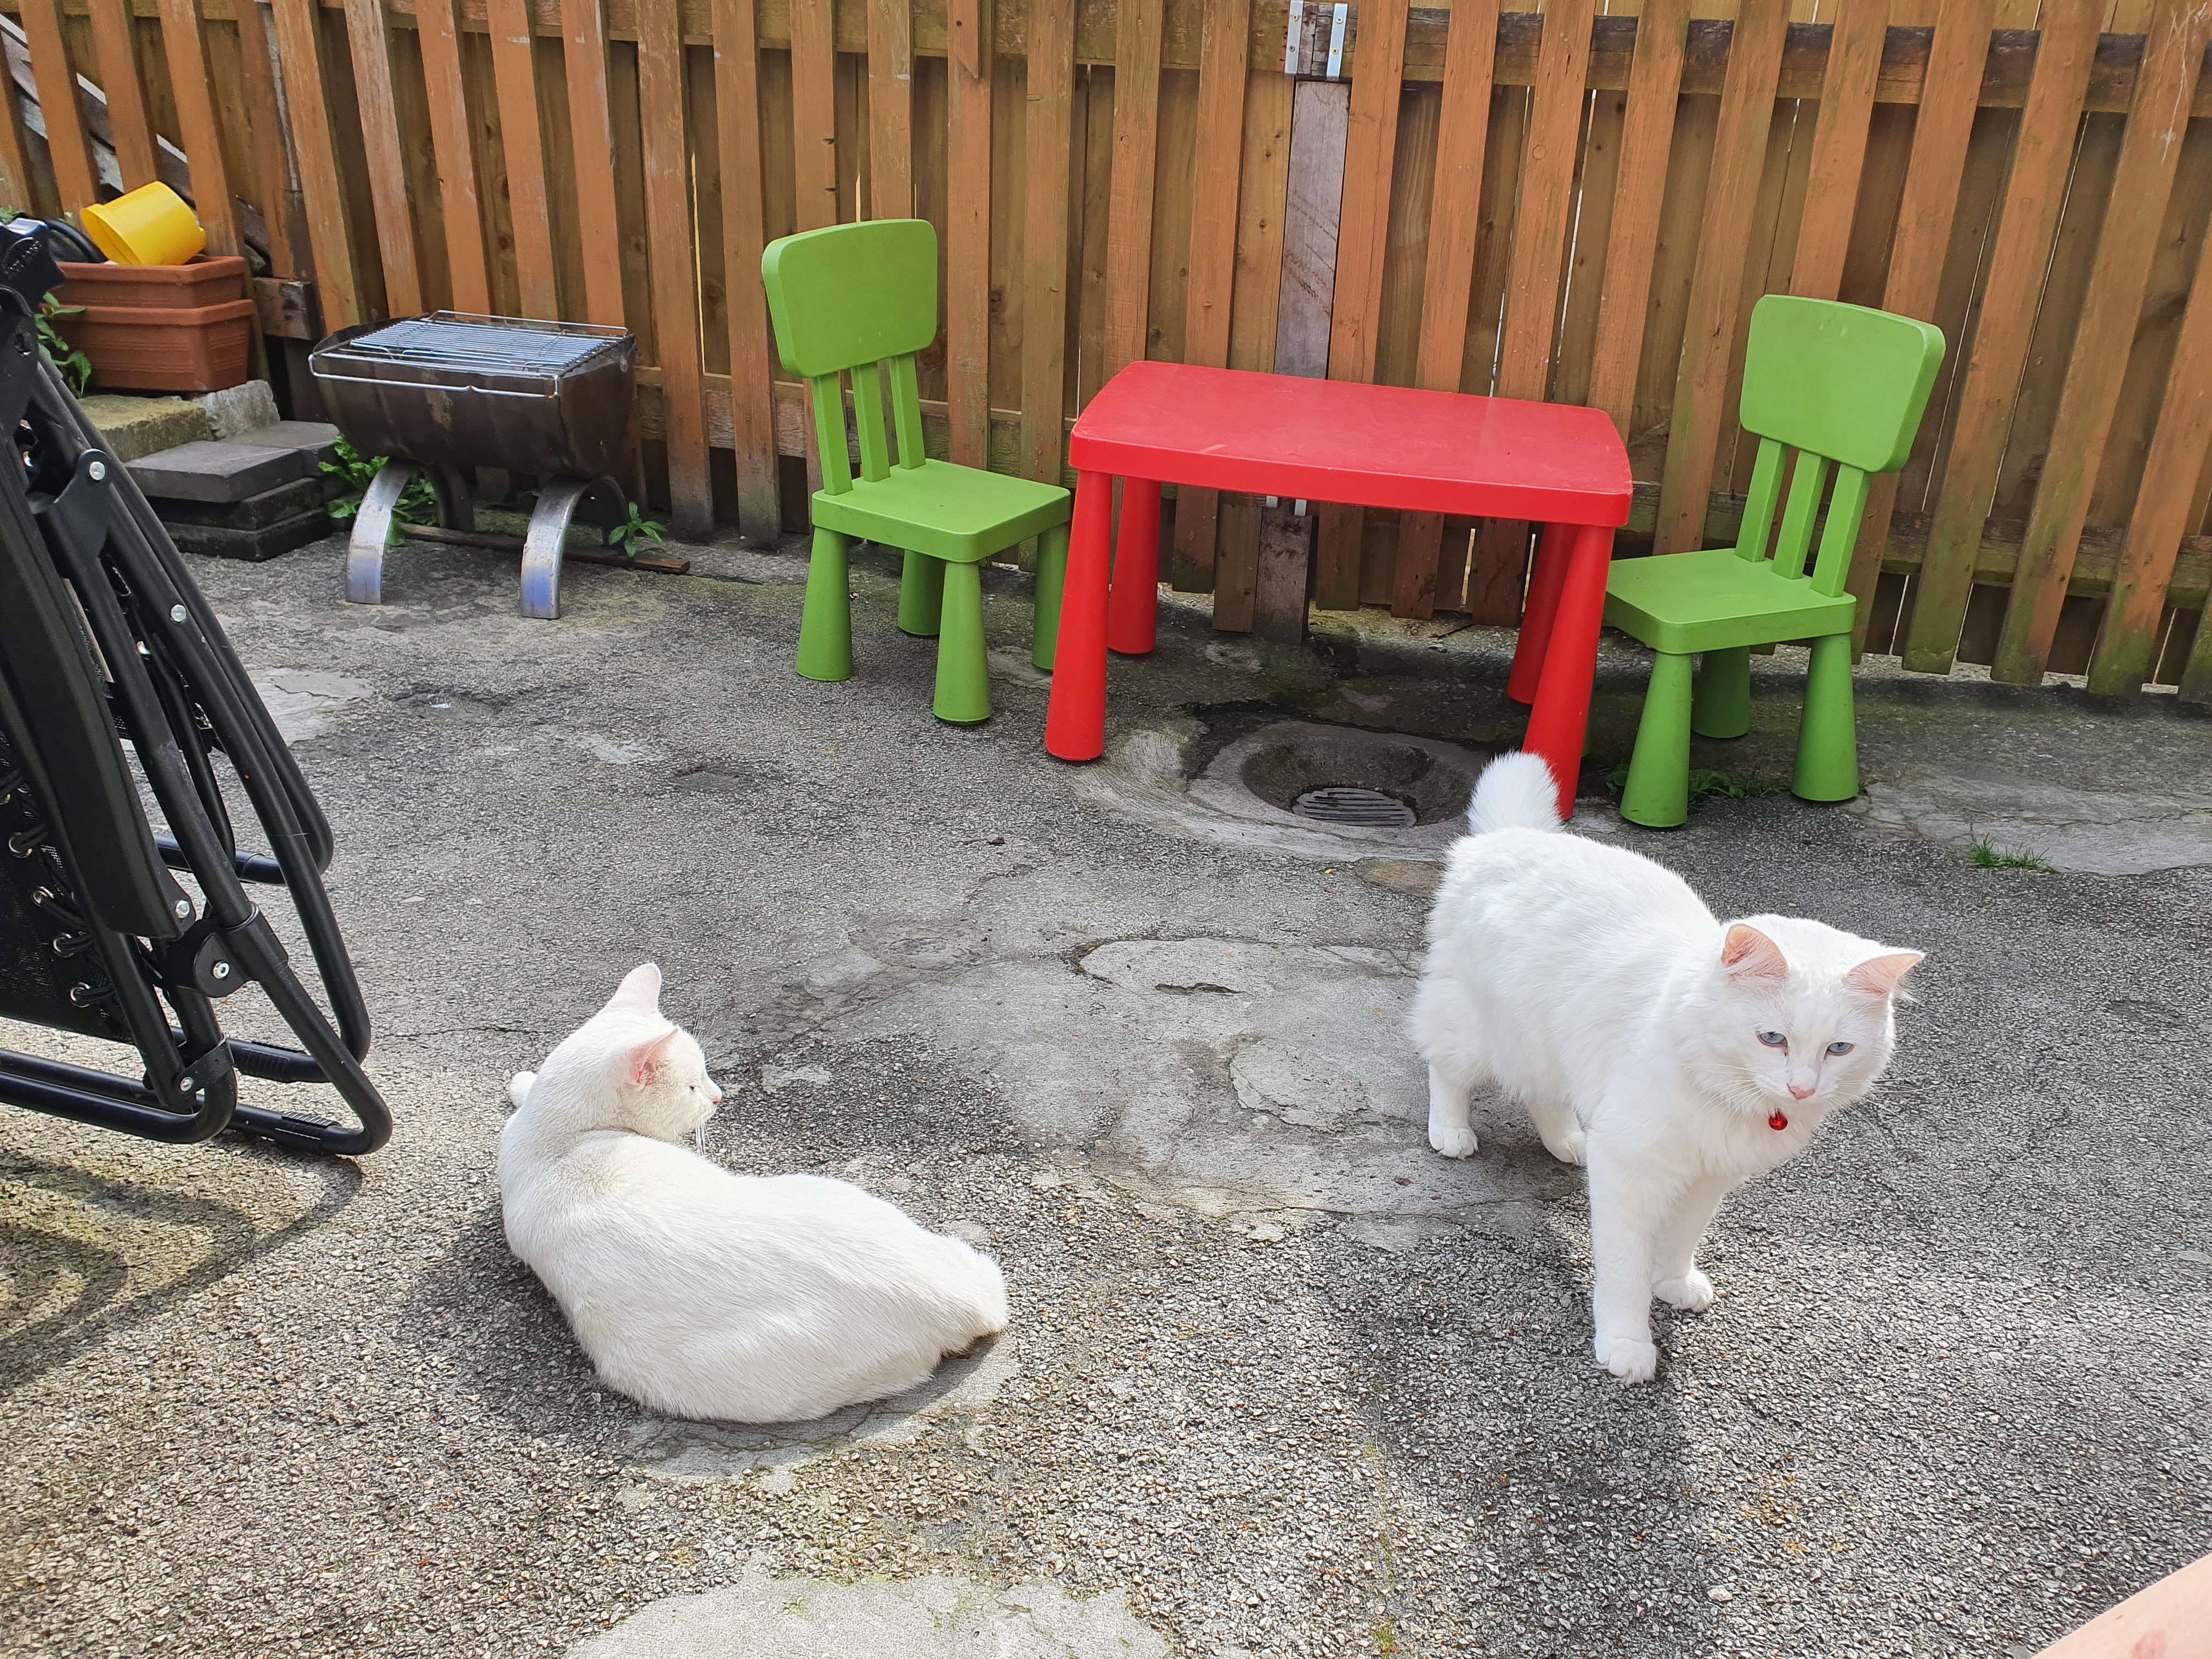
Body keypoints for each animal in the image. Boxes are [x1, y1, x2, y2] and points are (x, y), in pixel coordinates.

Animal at [1415, 756, 1920, 1389]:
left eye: (1839, 1049)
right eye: (1772, 1039)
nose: (1801, 1088)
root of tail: (1510, 837)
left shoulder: (1709, 1176)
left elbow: (1683, 1238)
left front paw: (1674, 1284)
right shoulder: (1632, 1171)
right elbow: (1625, 1269)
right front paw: (1627, 1345)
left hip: (1549, 1045)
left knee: (1542, 1096)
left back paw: (1569, 1142)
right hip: (1484, 1030)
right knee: (1444, 1065)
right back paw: (1451, 1132)